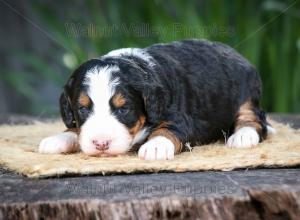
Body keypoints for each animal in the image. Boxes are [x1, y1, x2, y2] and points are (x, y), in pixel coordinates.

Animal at [38, 39, 274, 160]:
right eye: (83, 109)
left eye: (123, 109)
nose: (101, 144)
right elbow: (76, 129)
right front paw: (59, 138)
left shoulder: (181, 117)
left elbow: (167, 129)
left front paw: (156, 146)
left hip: (246, 93)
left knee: (255, 120)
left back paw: (243, 136)